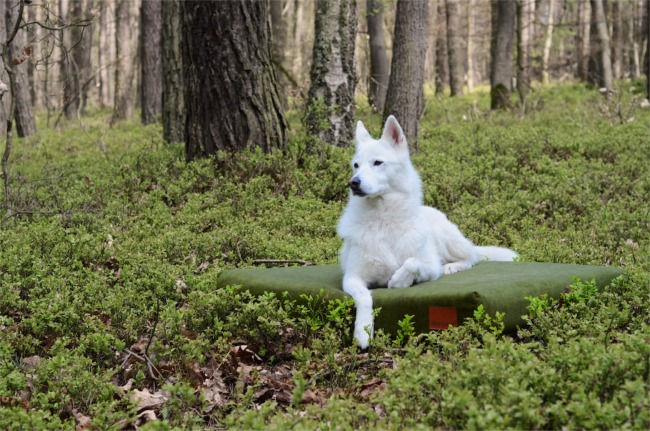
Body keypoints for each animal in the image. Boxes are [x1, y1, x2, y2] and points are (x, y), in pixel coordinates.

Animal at [334, 116, 516, 350]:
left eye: (377, 163)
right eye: (356, 165)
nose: (353, 182)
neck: (384, 220)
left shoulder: (430, 267)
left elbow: (412, 263)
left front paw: (399, 281)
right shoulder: (352, 278)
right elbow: (365, 297)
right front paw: (363, 332)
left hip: (448, 239)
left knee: (472, 257)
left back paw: (452, 266)